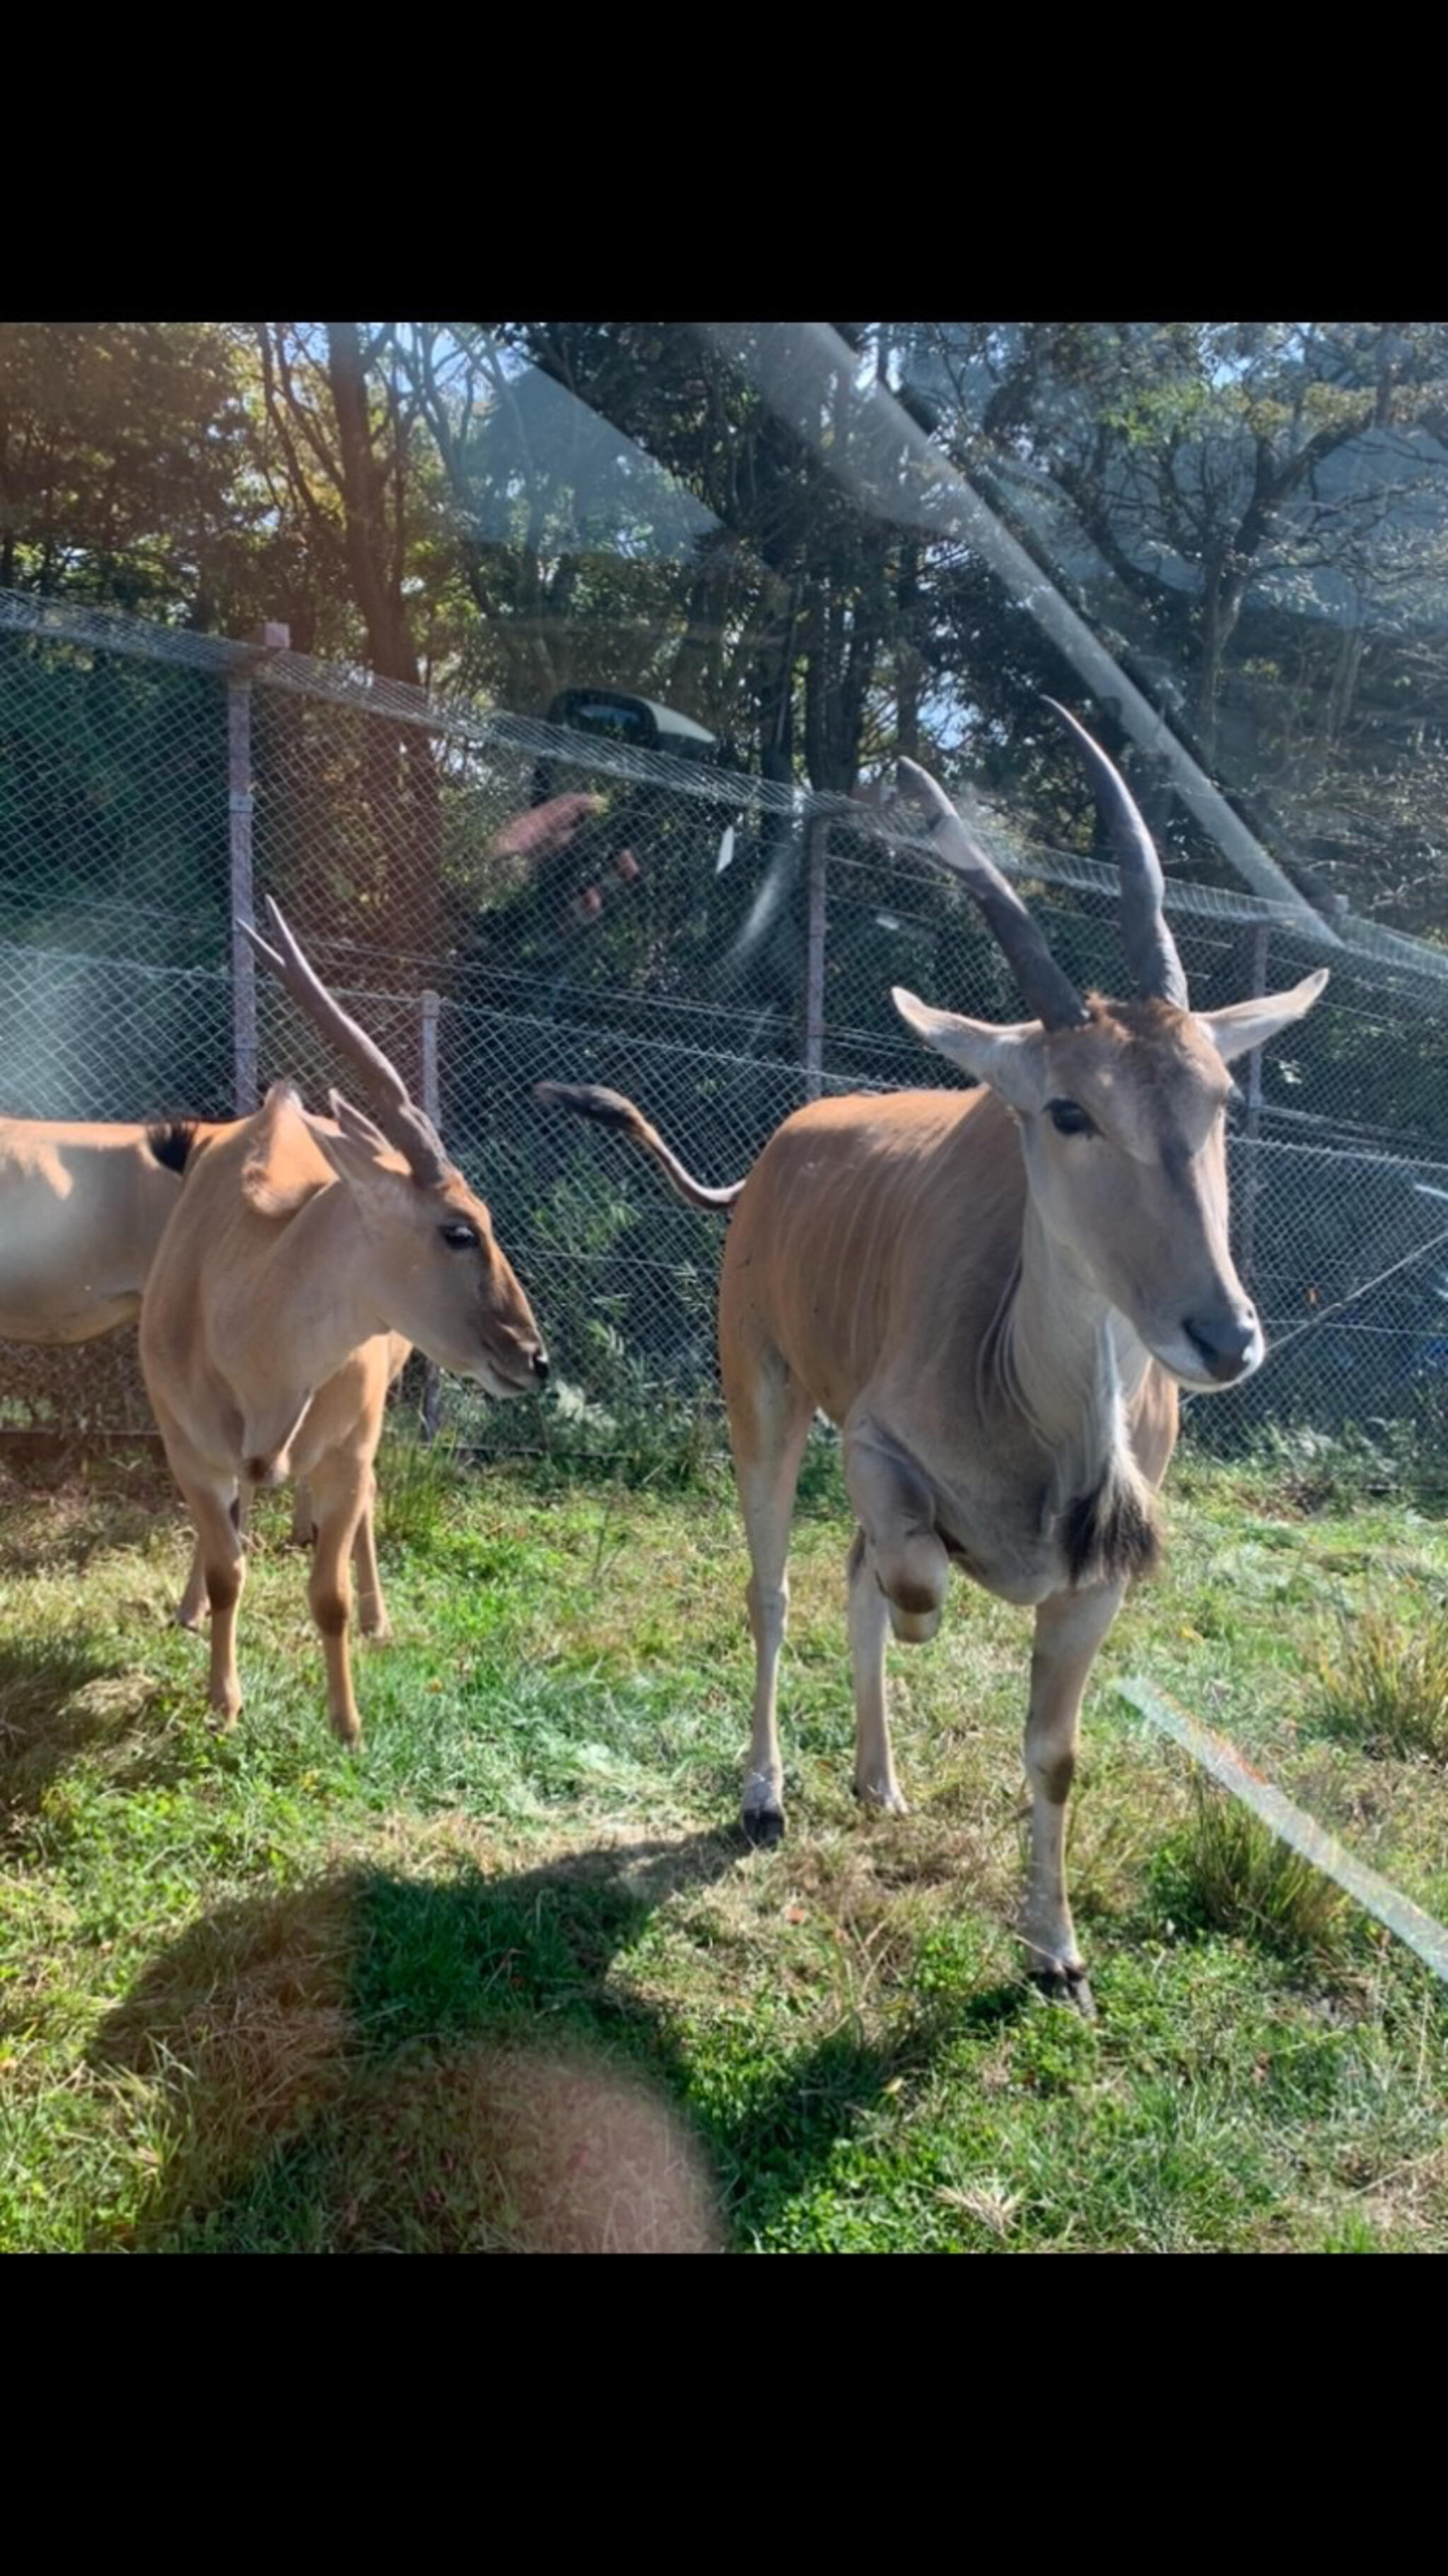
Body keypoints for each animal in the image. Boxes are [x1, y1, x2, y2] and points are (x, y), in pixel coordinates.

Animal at [141, 907, 546, 1752]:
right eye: (460, 1229)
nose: (533, 1355)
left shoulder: (348, 1448)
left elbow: (325, 1592)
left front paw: (347, 1720)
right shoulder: (187, 1446)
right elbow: (228, 1567)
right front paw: (223, 1701)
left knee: (354, 1516)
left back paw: (376, 1615)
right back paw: (190, 1607)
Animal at [535, 706, 1329, 2009]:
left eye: (1217, 1095)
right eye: (1068, 1109)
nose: (1222, 1333)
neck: (1042, 1413)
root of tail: (769, 1159)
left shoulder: (1095, 1582)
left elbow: (1052, 1753)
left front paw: (1055, 1949)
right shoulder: (875, 1445)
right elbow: (908, 1588)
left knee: (847, 1575)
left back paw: (877, 1776)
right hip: (764, 1401)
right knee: (777, 1587)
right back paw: (765, 1790)